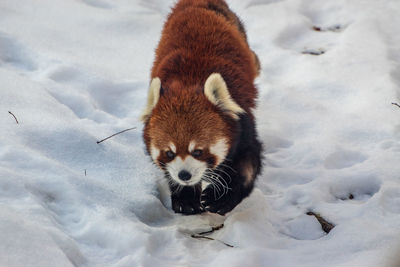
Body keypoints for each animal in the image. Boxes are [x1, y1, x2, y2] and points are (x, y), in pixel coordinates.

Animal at [141, 0, 262, 217]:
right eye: (169, 153)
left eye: (197, 151)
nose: (184, 175)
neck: (187, 86)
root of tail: (197, 3)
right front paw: (186, 198)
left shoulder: (243, 124)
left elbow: (247, 166)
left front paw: (220, 199)